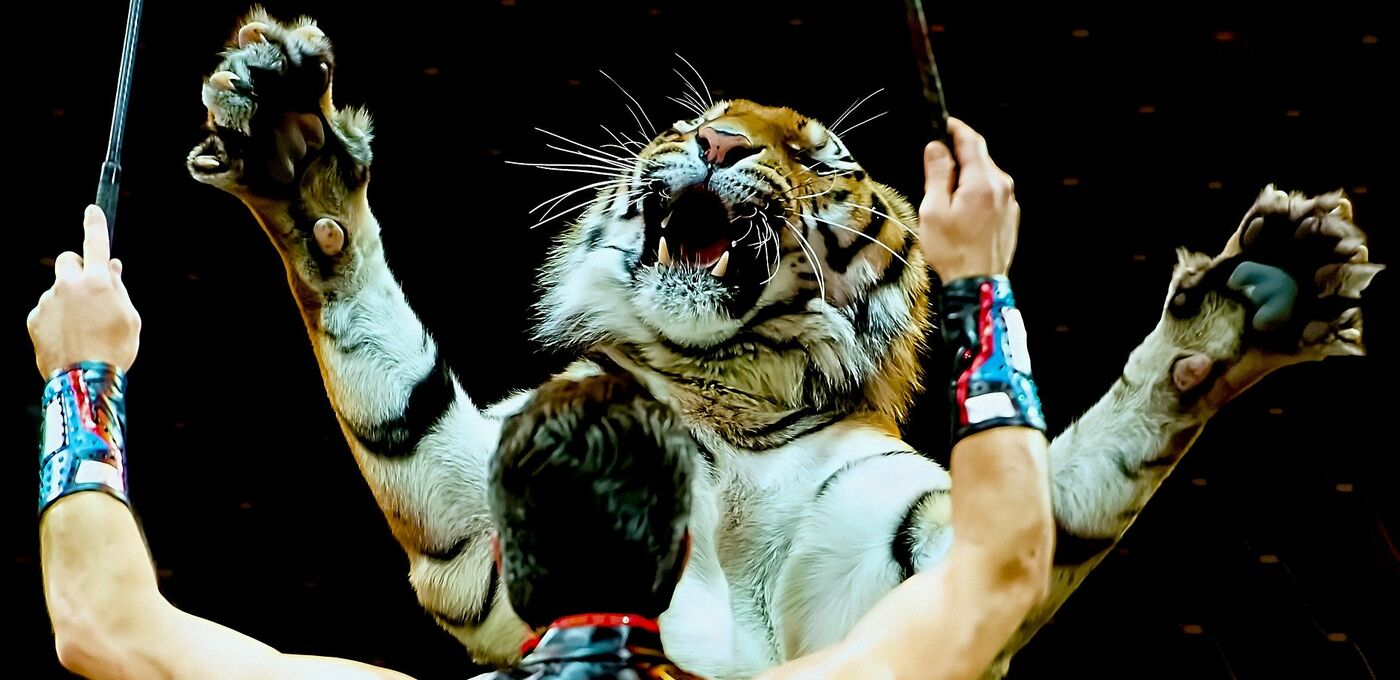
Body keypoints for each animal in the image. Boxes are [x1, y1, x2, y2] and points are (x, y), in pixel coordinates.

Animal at [183, 11, 1377, 680]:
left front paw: (1252, 302)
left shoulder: (921, 565)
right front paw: (300, 156)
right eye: (694, 117)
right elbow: (392, 372)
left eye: (820, 154)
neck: (725, 406)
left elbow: (1072, 481)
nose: (714, 142)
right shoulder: (488, 525)